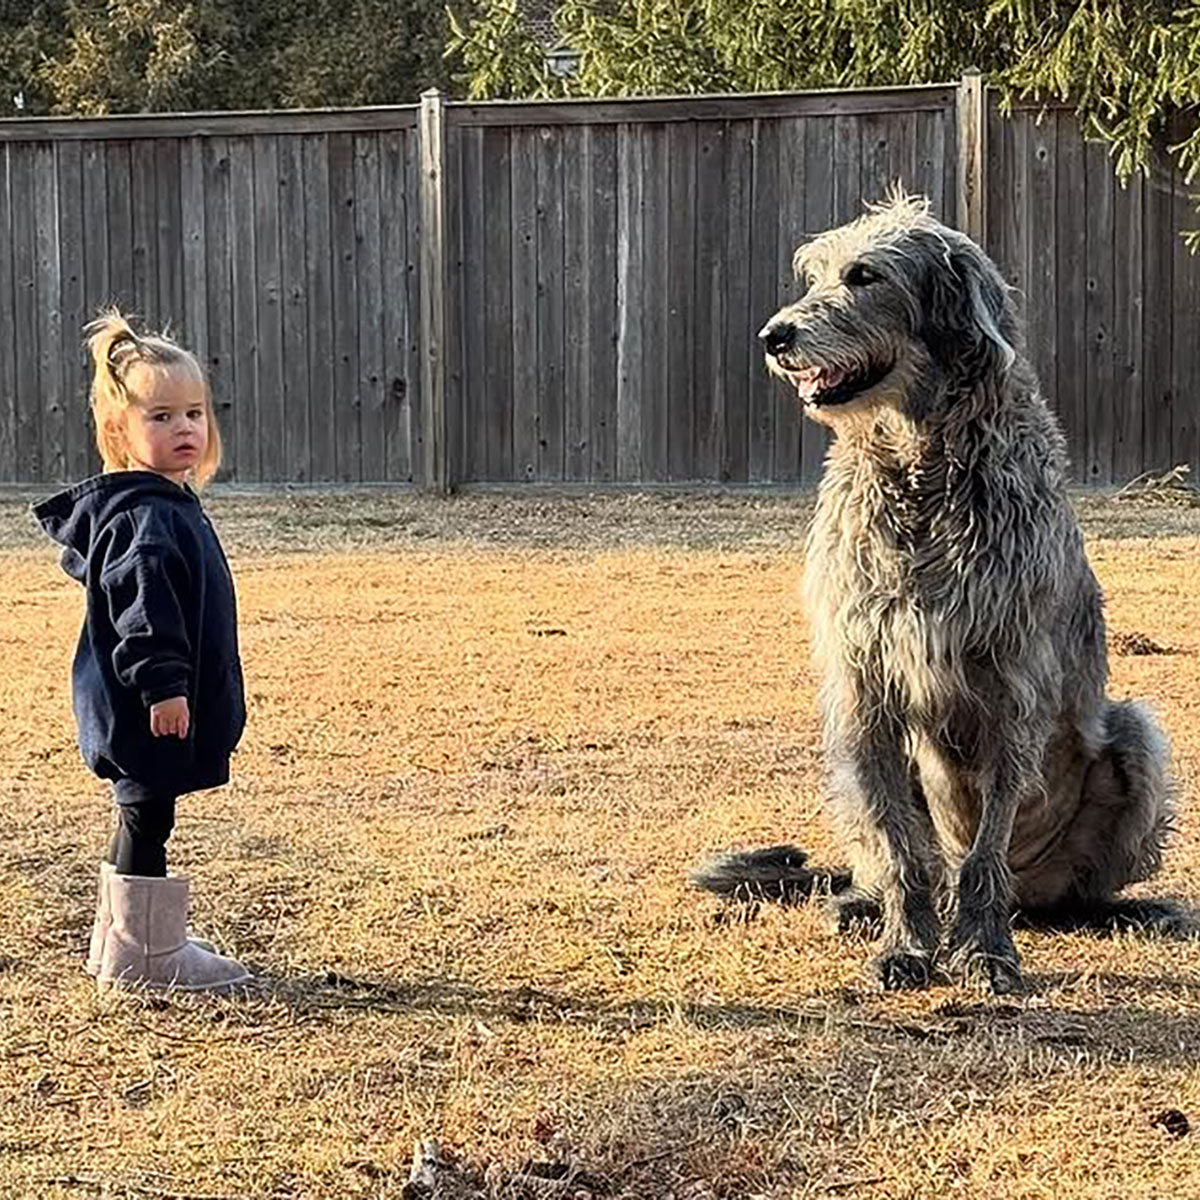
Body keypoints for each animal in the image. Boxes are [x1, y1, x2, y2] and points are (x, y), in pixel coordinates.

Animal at [700, 189, 1176, 993]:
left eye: (864, 275)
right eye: (815, 273)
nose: (774, 335)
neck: (921, 467)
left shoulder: (1012, 686)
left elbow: (986, 845)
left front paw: (982, 949)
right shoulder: (864, 688)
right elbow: (902, 846)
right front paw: (907, 944)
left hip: (1136, 735)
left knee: (1053, 885)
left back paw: (1103, 911)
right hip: (845, 766)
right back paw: (862, 905)